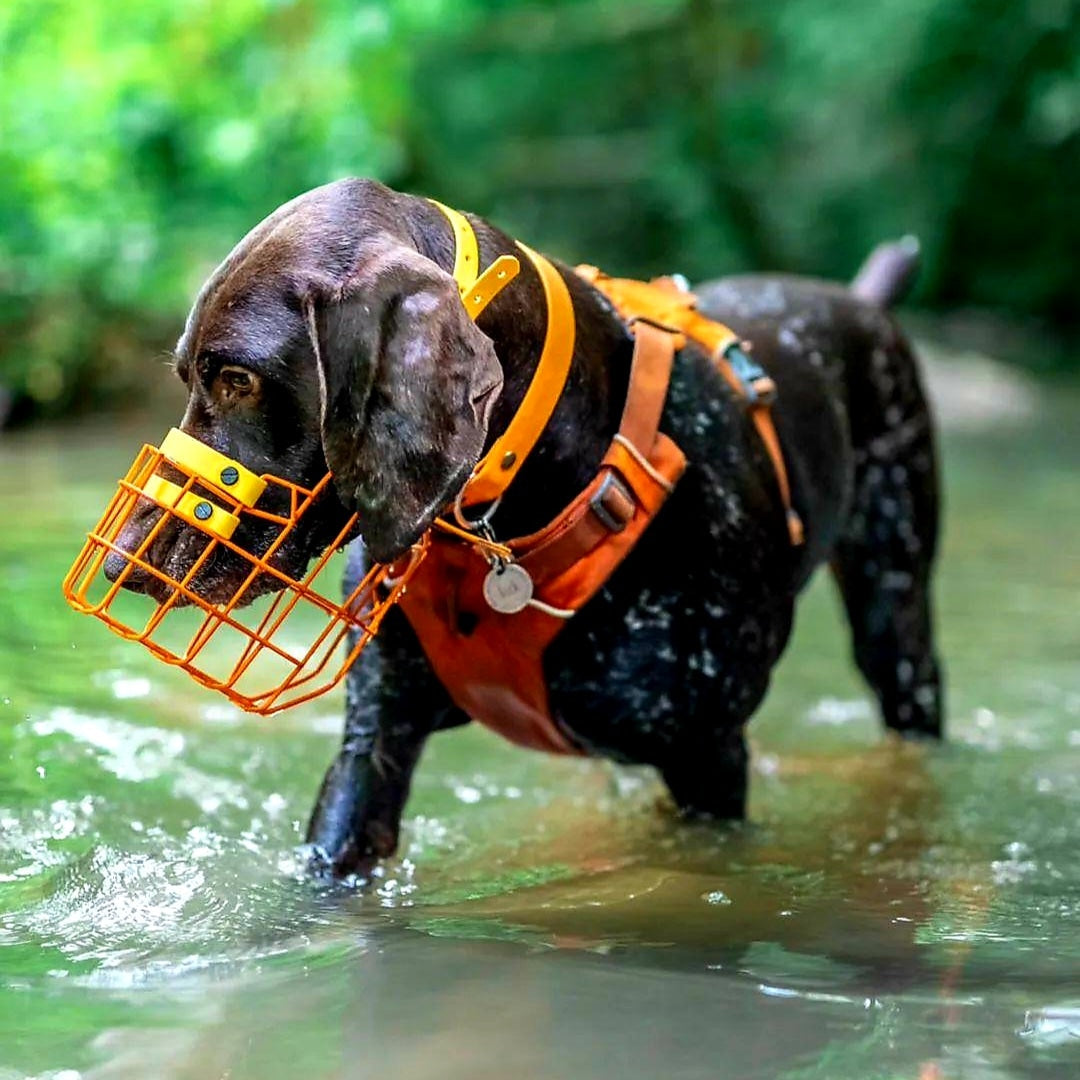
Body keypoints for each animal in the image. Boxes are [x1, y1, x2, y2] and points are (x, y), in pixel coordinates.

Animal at [105, 179, 941, 876]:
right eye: (187, 374)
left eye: (237, 380)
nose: (120, 563)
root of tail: (861, 299)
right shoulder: (374, 741)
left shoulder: (708, 759)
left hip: (897, 626)